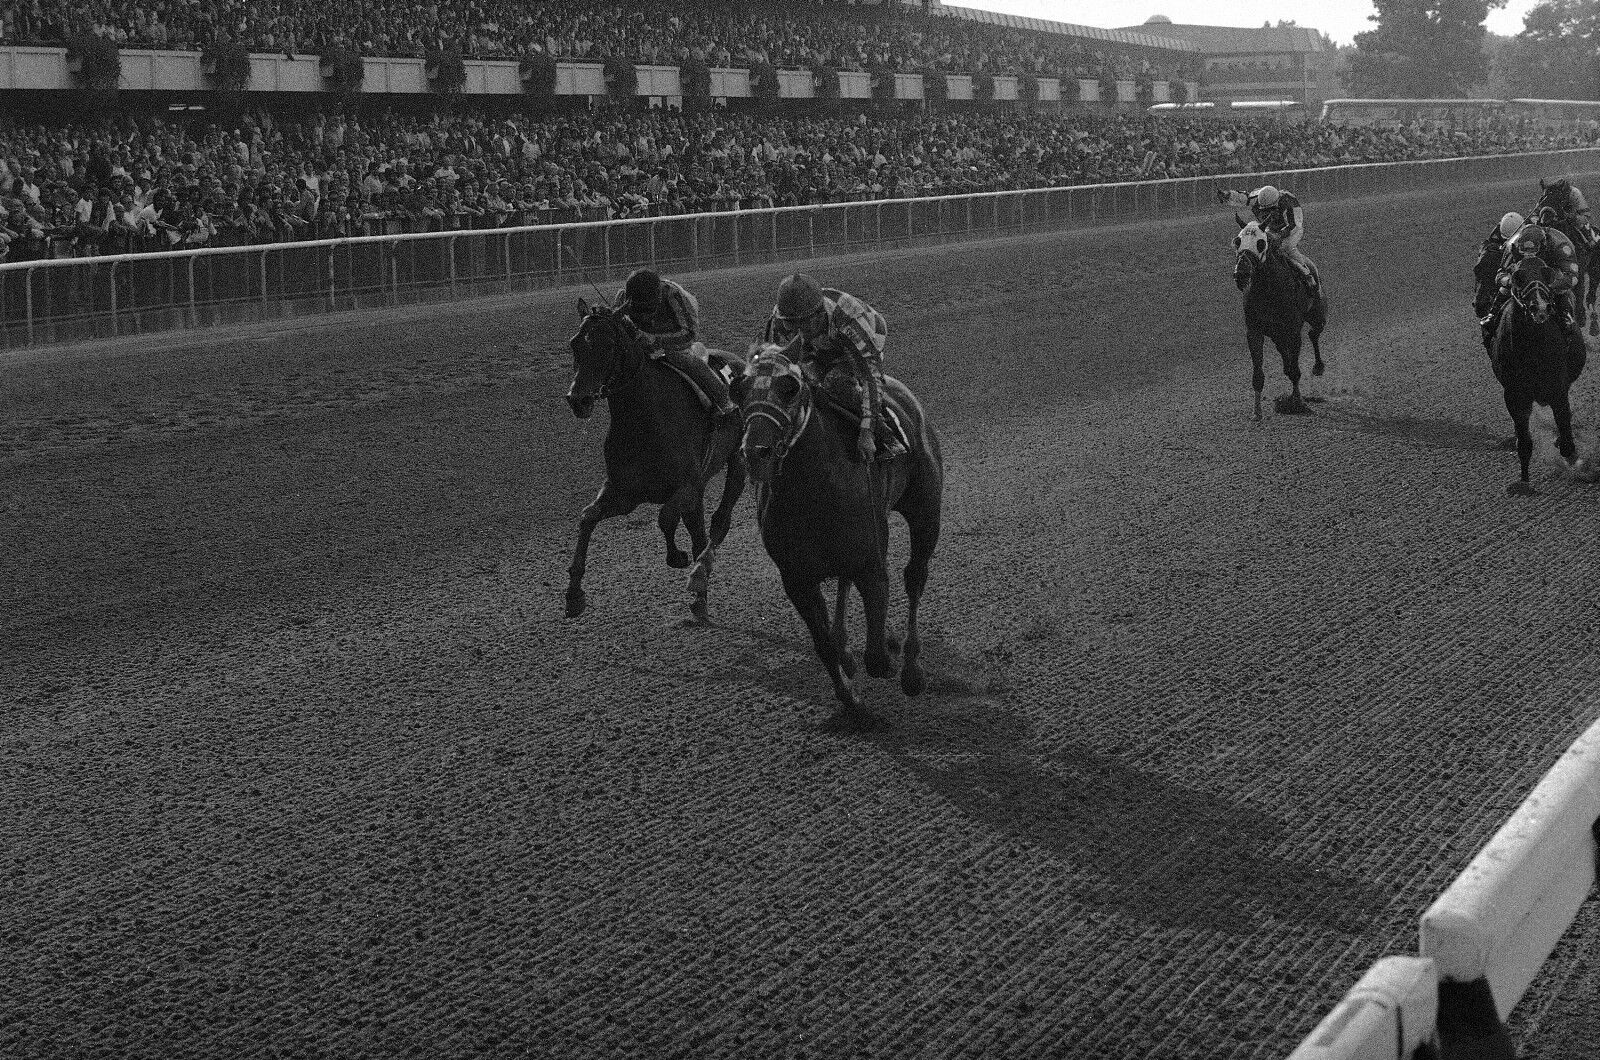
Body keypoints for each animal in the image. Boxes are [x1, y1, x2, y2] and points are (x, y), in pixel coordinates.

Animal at [566, 299, 745, 624]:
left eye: (608, 344)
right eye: (575, 344)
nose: (578, 399)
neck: (645, 421)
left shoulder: (688, 486)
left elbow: (665, 516)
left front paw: (676, 556)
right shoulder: (625, 493)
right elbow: (587, 516)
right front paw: (574, 595)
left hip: (739, 460)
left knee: (718, 522)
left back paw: (700, 578)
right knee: (700, 530)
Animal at [742, 344, 940, 717]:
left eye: (790, 387)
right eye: (738, 388)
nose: (756, 452)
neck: (814, 490)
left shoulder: (871, 565)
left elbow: (876, 657)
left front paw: (888, 660)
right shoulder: (797, 580)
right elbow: (824, 645)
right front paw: (851, 697)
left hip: (926, 511)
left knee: (915, 577)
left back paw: (912, 668)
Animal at [1228, 217, 1331, 422]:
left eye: (1261, 243)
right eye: (1237, 241)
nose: (1241, 273)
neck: (1269, 290)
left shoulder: (1293, 330)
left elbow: (1296, 371)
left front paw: (1297, 401)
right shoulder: (1254, 331)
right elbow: (1258, 375)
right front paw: (1256, 412)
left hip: (1317, 315)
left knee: (1314, 333)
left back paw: (1318, 367)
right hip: (1277, 334)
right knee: (1284, 349)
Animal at [1484, 257, 1587, 493]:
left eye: (1546, 273)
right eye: (1518, 277)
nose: (1539, 308)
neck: (1533, 345)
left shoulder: (1558, 388)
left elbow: (1566, 431)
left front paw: (1573, 458)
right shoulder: (1514, 393)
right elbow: (1523, 441)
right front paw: (1523, 481)